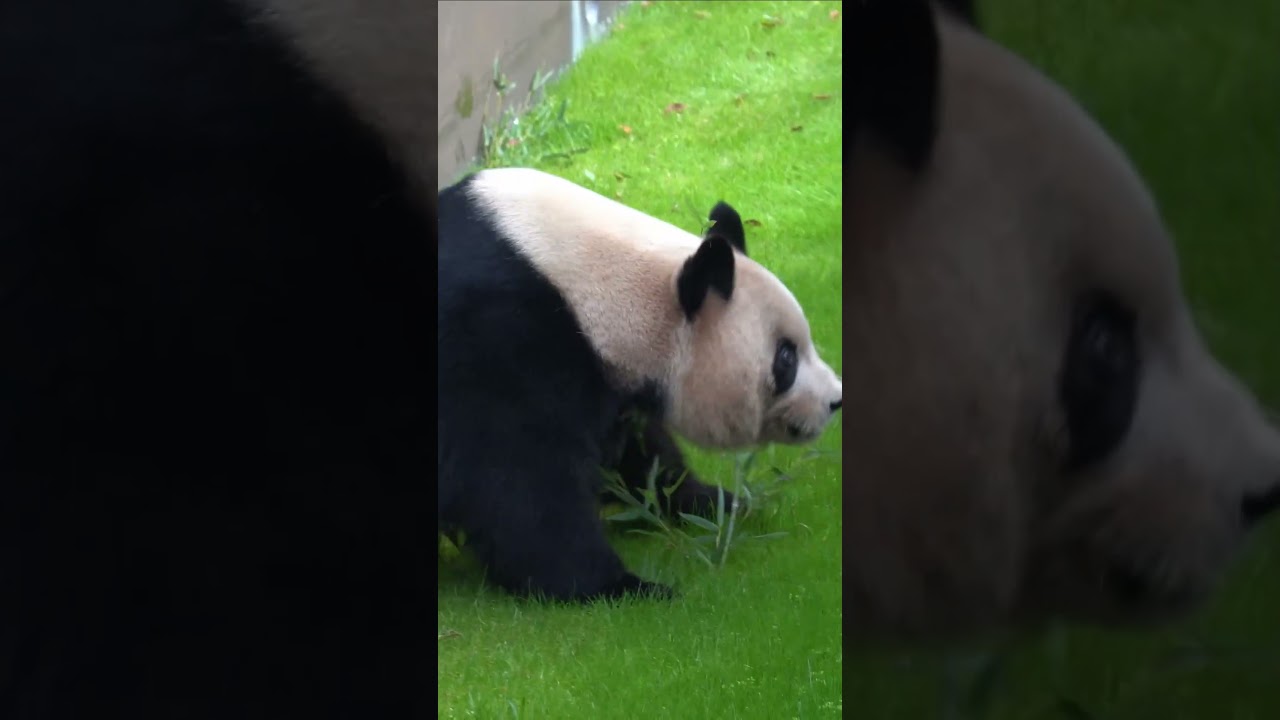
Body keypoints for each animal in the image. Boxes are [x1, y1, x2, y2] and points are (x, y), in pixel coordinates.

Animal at [437, 167, 844, 601]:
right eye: (785, 358)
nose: (835, 400)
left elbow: (641, 453)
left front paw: (712, 502)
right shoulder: (499, 342)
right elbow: (517, 477)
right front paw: (618, 585)